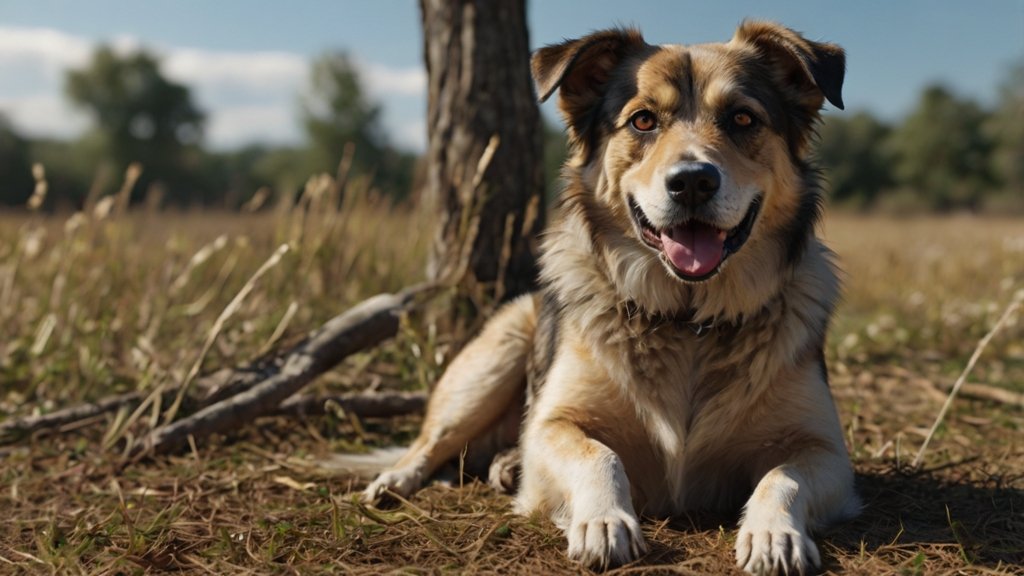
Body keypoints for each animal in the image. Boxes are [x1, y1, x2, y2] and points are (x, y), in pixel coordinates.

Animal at [364, 20, 860, 569]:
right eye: (642, 120)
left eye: (742, 118)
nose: (692, 182)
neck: (687, 319)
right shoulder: (554, 425)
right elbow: (596, 453)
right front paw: (604, 521)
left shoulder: (827, 452)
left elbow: (782, 476)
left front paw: (773, 534)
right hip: (492, 362)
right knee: (431, 442)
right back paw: (396, 479)